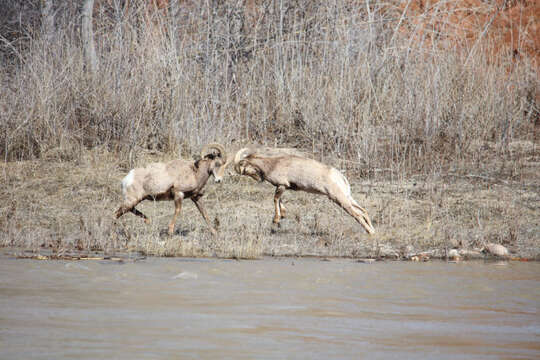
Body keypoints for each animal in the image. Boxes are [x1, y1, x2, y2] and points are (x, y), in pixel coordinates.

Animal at [232, 145, 376, 235]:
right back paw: (373, 231)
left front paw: (276, 220)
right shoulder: (283, 187)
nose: (259, 179)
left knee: (357, 215)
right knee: (363, 211)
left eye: (244, 170)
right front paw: (282, 215)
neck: (272, 164)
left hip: (339, 198)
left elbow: (275, 199)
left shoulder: (282, 185)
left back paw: (370, 232)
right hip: (347, 197)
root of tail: (340, 176)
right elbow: (279, 200)